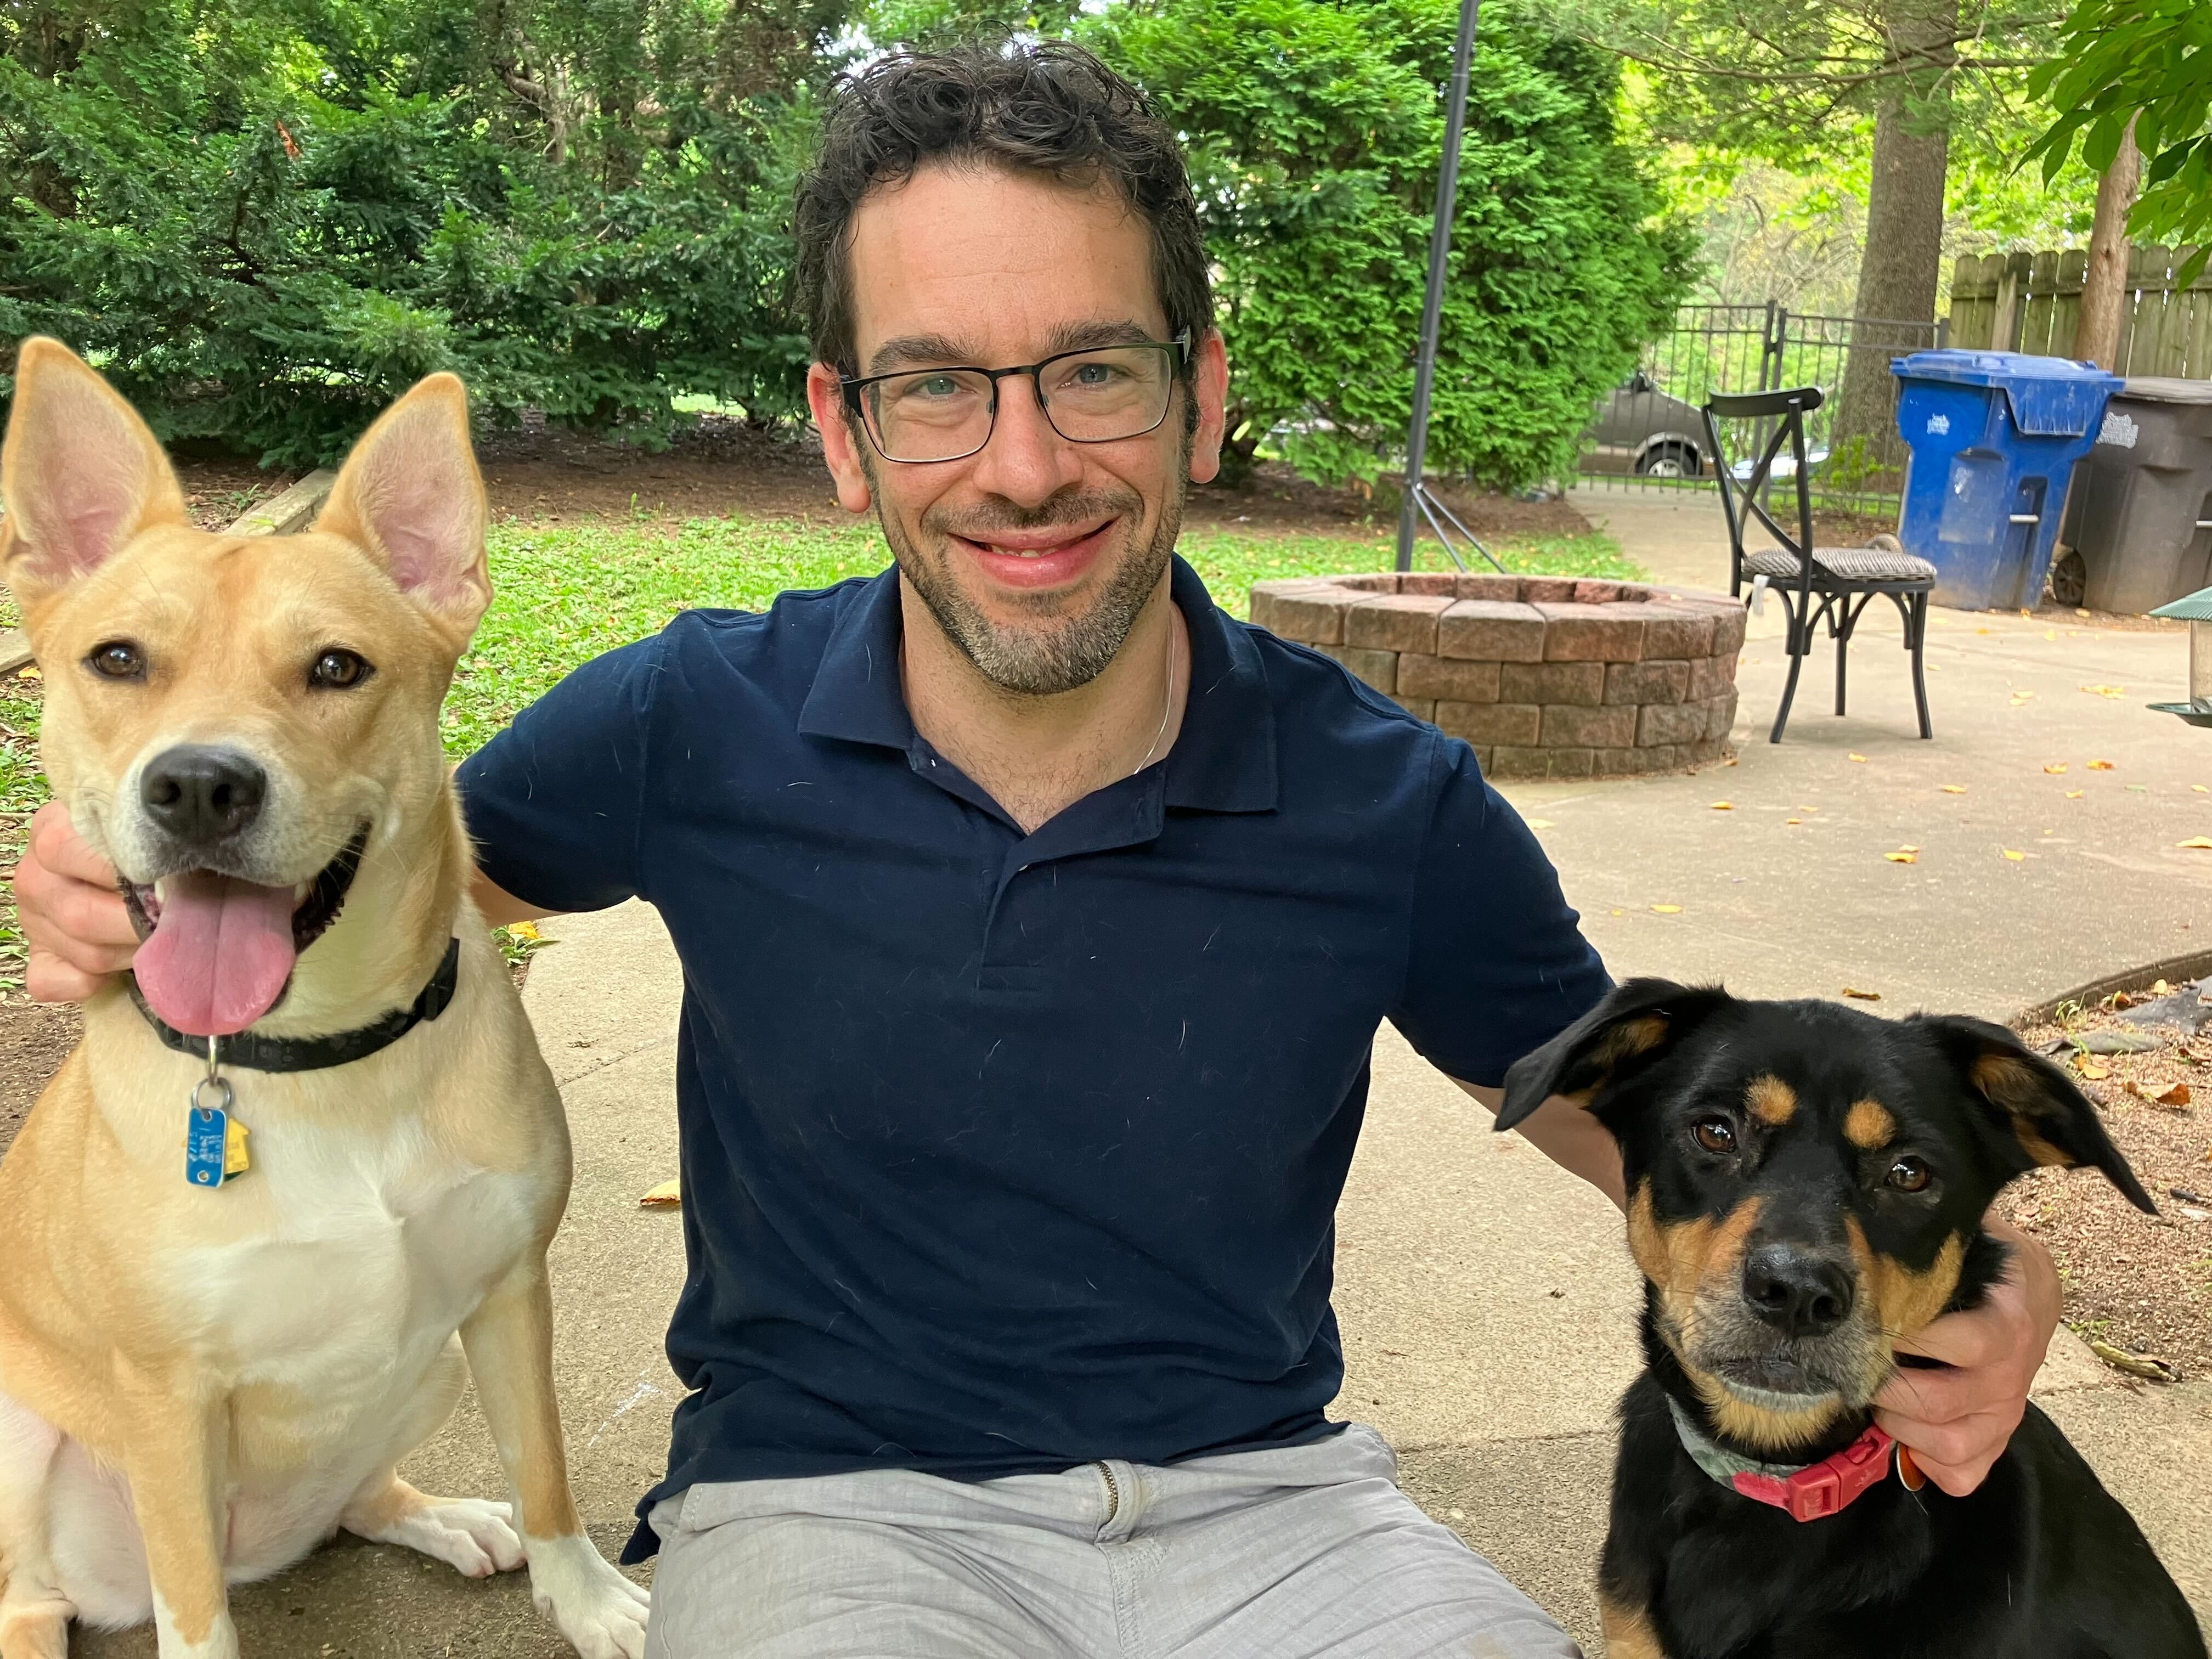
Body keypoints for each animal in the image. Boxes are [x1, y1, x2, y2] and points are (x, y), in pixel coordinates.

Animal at [0, 340, 646, 1659]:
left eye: (338, 667)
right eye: (119, 659)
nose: (200, 786)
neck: (321, 1060)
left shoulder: (511, 1292)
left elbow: (547, 1470)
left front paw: (584, 1593)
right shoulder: (165, 1398)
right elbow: (195, 1615)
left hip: (424, 1368)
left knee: (353, 1498)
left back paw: (443, 1516)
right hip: (20, 1437)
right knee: (31, 1596)